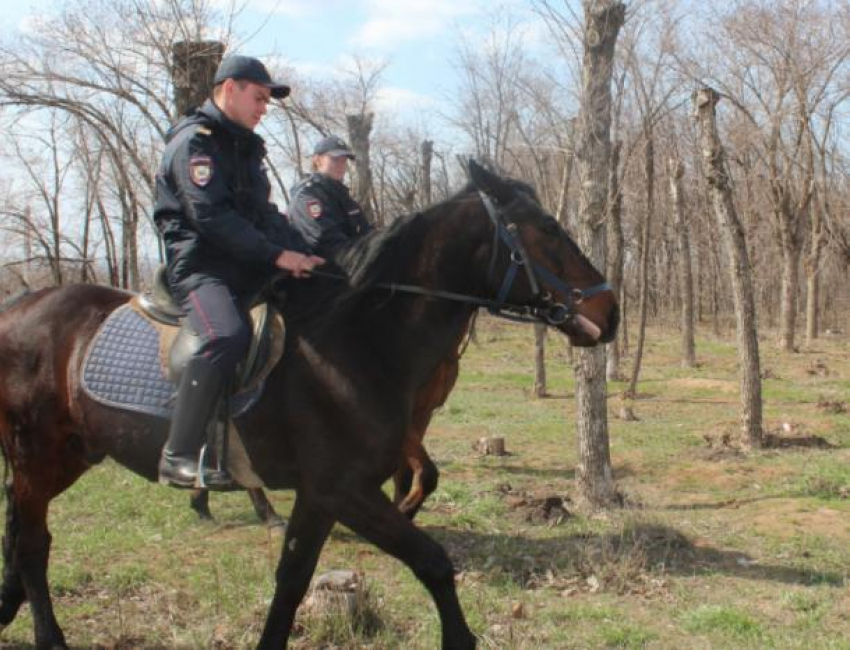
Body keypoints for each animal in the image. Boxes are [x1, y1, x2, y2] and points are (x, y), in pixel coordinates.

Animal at [0, 159, 616, 644]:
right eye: (548, 229)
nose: (609, 312)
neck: (355, 341)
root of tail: (18, 306)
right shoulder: (344, 489)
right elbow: (434, 562)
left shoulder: (320, 496)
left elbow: (292, 582)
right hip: (39, 456)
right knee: (32, 543)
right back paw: (49, 635)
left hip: (70, 455)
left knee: (20, 525)